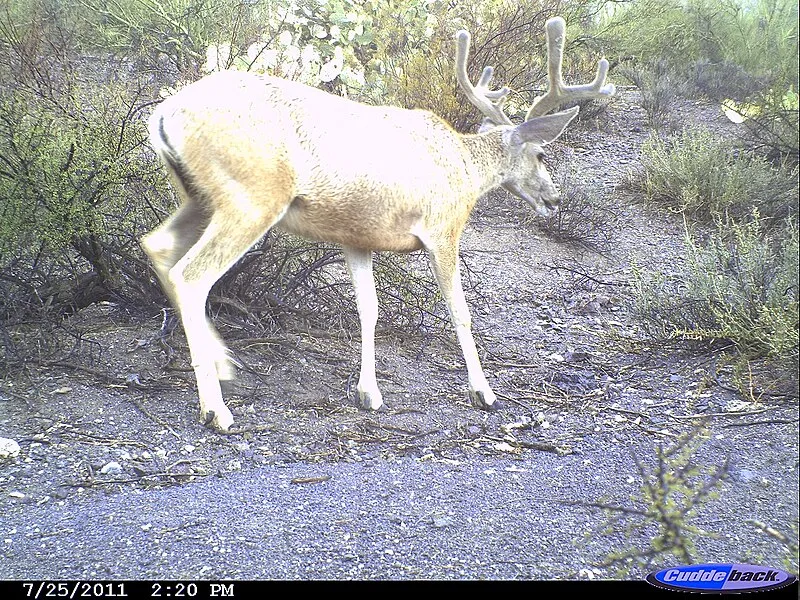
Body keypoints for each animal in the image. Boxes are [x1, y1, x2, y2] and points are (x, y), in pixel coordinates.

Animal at [142, 17, 615, 432]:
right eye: (541, 154)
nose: (554, 199)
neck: (465, 167)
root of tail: (165, 113)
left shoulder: (358, 237)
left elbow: (367, 309)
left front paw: (368, 392)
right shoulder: (443, 230)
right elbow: (459, 311)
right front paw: (484, 392)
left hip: (200, 197)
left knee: (158, 245)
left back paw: (222, 364)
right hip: (252, 197)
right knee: (192, 274)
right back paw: (216, 410)